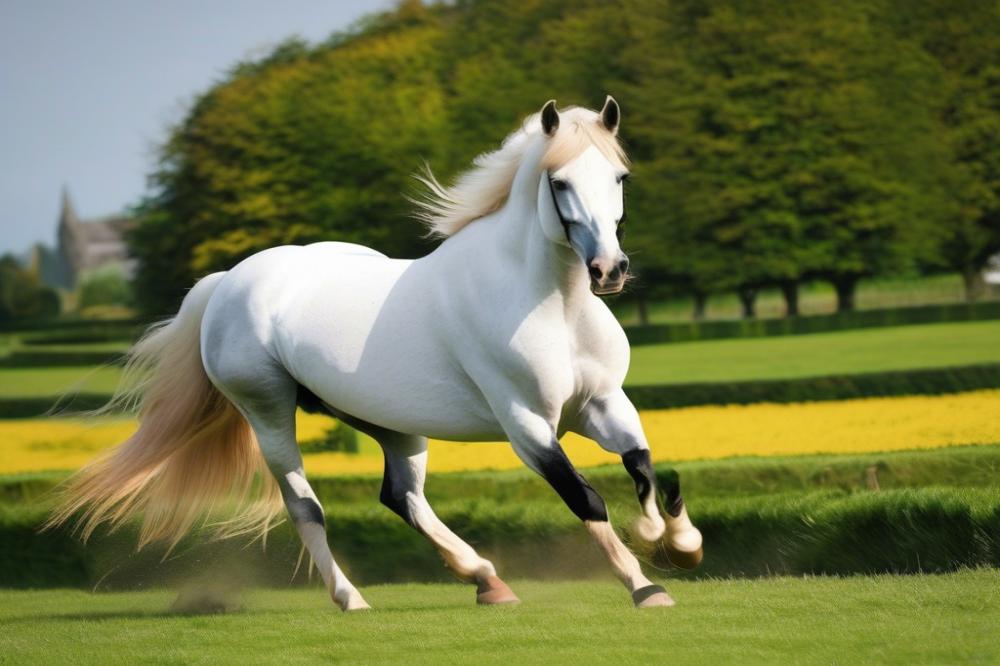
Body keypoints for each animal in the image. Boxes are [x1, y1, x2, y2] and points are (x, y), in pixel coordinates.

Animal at [48, 97, 703, 611]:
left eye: (618, 177)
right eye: (559, 181)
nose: (610, 270)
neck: (550, 303)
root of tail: (228, 282)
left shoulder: (601, 403)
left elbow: (645, 465)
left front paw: (678, 542)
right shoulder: (527, 424)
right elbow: (584, 496)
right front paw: (646, 586)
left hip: (390, 424)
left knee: (401, 496)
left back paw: (486, 580)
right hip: (268, 412)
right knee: (306, 506)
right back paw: (352, 598)